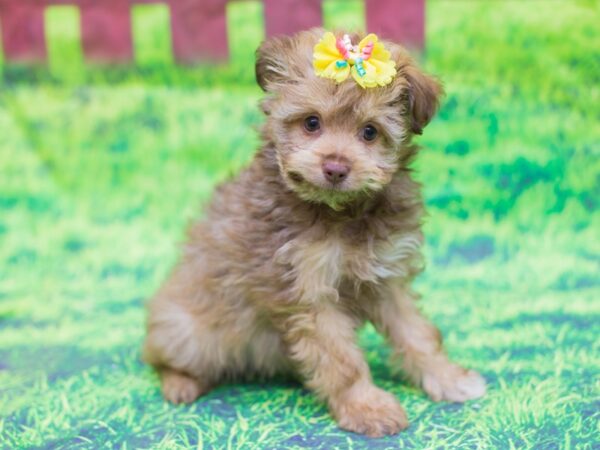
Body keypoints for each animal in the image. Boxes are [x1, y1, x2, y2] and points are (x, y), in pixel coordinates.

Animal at [143, 28, 486, 436]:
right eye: (311, 123)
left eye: (369, 132)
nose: (335, 167)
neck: (341, 212)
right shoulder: (307, 293)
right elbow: (343, 361)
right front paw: (366, 407)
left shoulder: (388, 279)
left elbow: (418, 334)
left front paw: (448, 378)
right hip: (188, 331)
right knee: (162, 356)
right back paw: (181, 382)